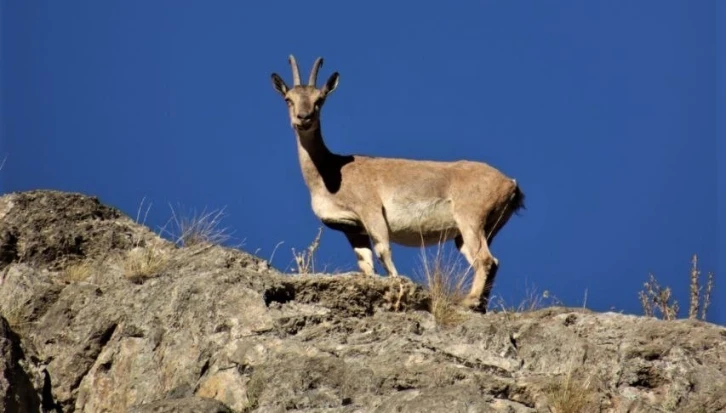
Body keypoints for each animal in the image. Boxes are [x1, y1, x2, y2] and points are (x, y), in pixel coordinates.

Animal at [270, 55, 528, 312]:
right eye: (288, 99)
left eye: (320, 99)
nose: (303, 118)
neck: (330, 172)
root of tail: (510, 184)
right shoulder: (352, 229)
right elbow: (366, 263)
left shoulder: (371, 210)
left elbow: (384, 251)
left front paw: (397, 286)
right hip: (476, 232)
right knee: (490, 261)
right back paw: (479, 305)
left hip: (470, 218)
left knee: (485, 259)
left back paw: (469, 301)